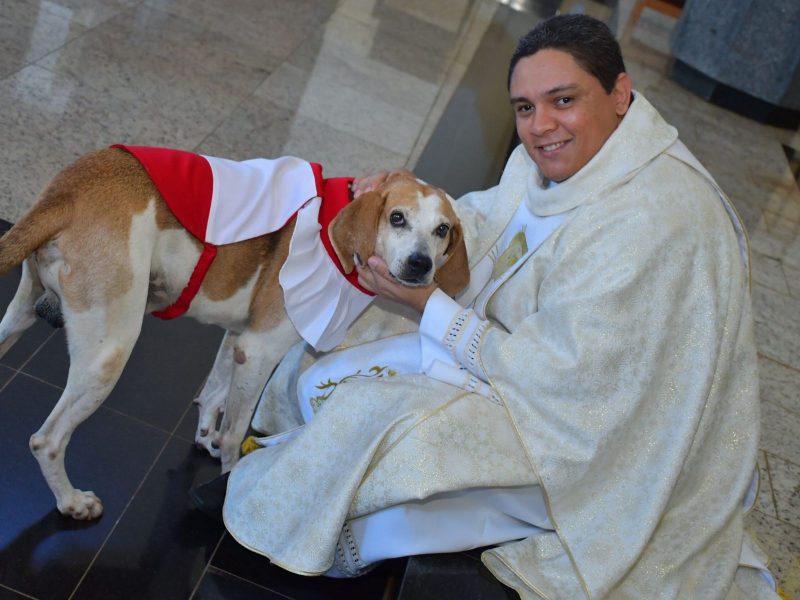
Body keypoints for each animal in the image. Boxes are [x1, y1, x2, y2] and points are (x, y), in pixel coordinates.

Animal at [0, 146, 468, 520]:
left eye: (442, 230)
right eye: (397, 218)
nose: (420, 265)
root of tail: (72, 186)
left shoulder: (238, 340)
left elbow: (213, 394)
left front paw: (204, 437)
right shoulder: (259, 350)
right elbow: (235, 430)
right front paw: (228, 480)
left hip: (20, 313)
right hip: (107, 356)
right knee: (46, 441)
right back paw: (71, 502)